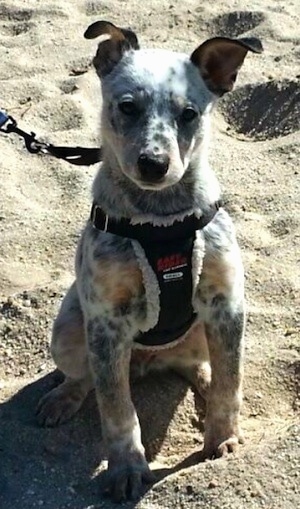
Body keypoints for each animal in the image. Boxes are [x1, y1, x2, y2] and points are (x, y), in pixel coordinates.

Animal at [37, 21, 262, 502]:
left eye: (190, 113)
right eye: (127, 106)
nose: (154, 164)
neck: (160, 219)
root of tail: (147, 363)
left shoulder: (227, 303)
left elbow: (231, 381)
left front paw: (223, 438)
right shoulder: (106, 321)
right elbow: (117, 408)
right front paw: (126, 468)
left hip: (201, 334)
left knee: (204, 365)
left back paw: (203, 380)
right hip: (68, 330)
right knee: (86, 378)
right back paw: (62, 398)